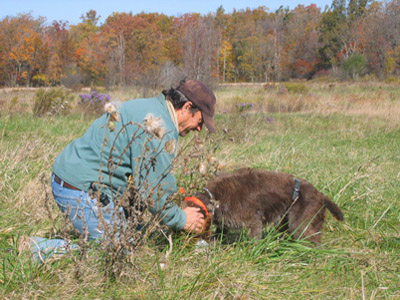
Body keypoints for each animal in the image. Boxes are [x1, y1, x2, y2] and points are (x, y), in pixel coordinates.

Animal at [188, 168, 344, 243]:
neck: (214, 197)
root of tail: (321, 195)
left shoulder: (253, 219)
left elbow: (255, 239)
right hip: (285, 221)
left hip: (301, 224)